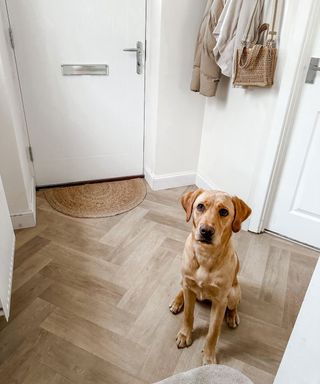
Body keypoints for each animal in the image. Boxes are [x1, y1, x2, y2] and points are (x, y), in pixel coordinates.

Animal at [170, 190, 252, 364]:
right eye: (200, 206)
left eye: (224, 212)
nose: (206, 231)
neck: (205, 256)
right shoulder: (189, 285)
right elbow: (188, 315)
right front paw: (185, 334)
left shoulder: (220, 302)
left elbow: (213, 331)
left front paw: (208, 357)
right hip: (185, 282)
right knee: (183, 287)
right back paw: (177, 301)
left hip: (234, 293)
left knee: (233, 305)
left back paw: (232, 316)